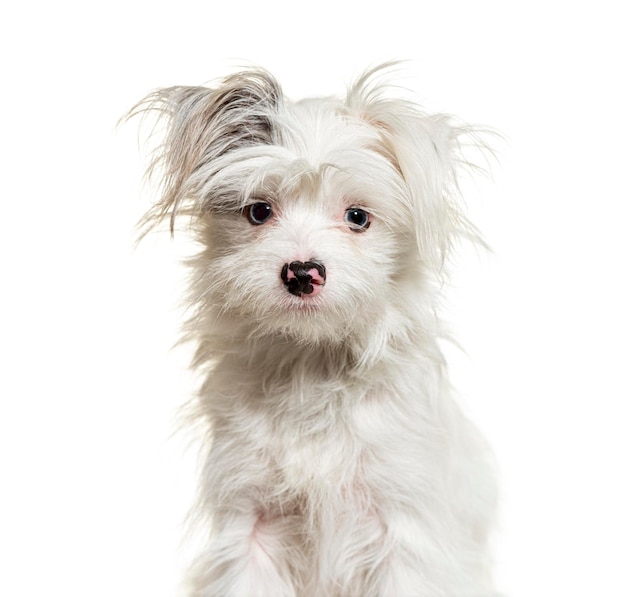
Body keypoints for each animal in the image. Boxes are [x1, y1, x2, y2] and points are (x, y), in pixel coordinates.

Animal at [130, 66, 498, 596]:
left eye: (357, 217)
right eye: (258, 211)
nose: (302, 273)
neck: (312, 364)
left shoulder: (404, 530)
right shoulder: (250, 525)